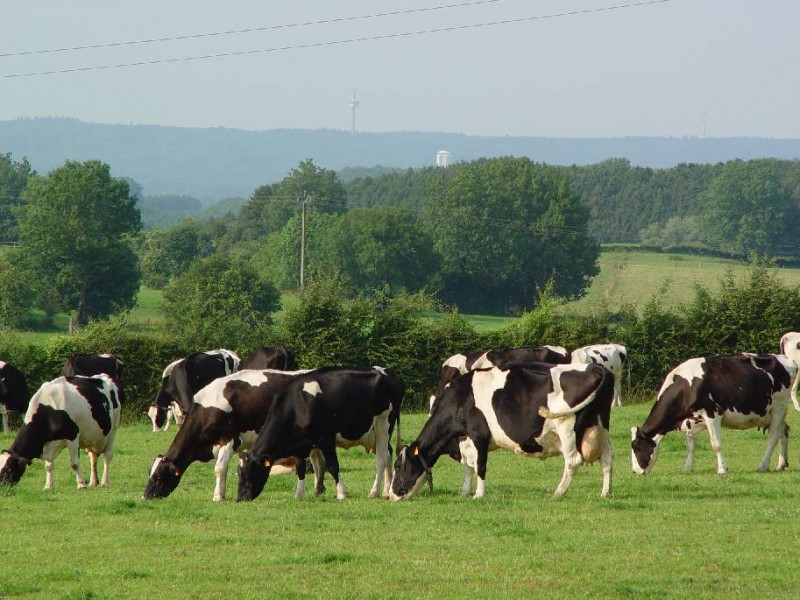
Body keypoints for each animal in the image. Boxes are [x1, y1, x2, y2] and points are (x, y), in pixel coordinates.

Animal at [142, 366, 320, 502]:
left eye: (159, 477)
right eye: (150, 474)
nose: (145, 497)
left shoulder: (229, 439)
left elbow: (219, 468)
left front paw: (217, 497)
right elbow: (225, 469)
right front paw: (222, 493)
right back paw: (317, 490)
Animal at [234, 366, 404, 502]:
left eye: (249, 473)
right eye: (239, 473)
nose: (240, 498)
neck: (299, 405)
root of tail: (389, 374)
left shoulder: (326, 438)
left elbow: (333, 466)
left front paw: (341, 493)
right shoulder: (300, 444)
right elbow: (300, 468)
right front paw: (299, 494)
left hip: (383, 424)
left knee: (381, 459)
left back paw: (374, 492)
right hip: (375, 433)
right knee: (388, 454)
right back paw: (386, 491)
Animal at [390, 360, 616, 502]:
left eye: (399, 466)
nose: (390, 495)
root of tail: (595, 367)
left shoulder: (478, 434)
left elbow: (479, 466)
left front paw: (478, 495)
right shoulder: (464, 440)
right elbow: (467, 467)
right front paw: (464, 491)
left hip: (567, 427)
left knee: (573, 461)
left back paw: (558, 493)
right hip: (601, 425)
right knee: (607, 458)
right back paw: (605, 493)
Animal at [628, 354, 796, 476]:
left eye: (636, 446)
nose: (635, 471)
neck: (688, 386)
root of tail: (786, 359)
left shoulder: (712, 414)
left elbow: (716, 444)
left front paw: (722, 470)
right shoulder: (693, 420)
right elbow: (690, 445)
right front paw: (687, 468)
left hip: (779, 407)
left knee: (773, 437)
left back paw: (763, 465)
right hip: (773, 413)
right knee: (783, 432)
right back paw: (781, 464)